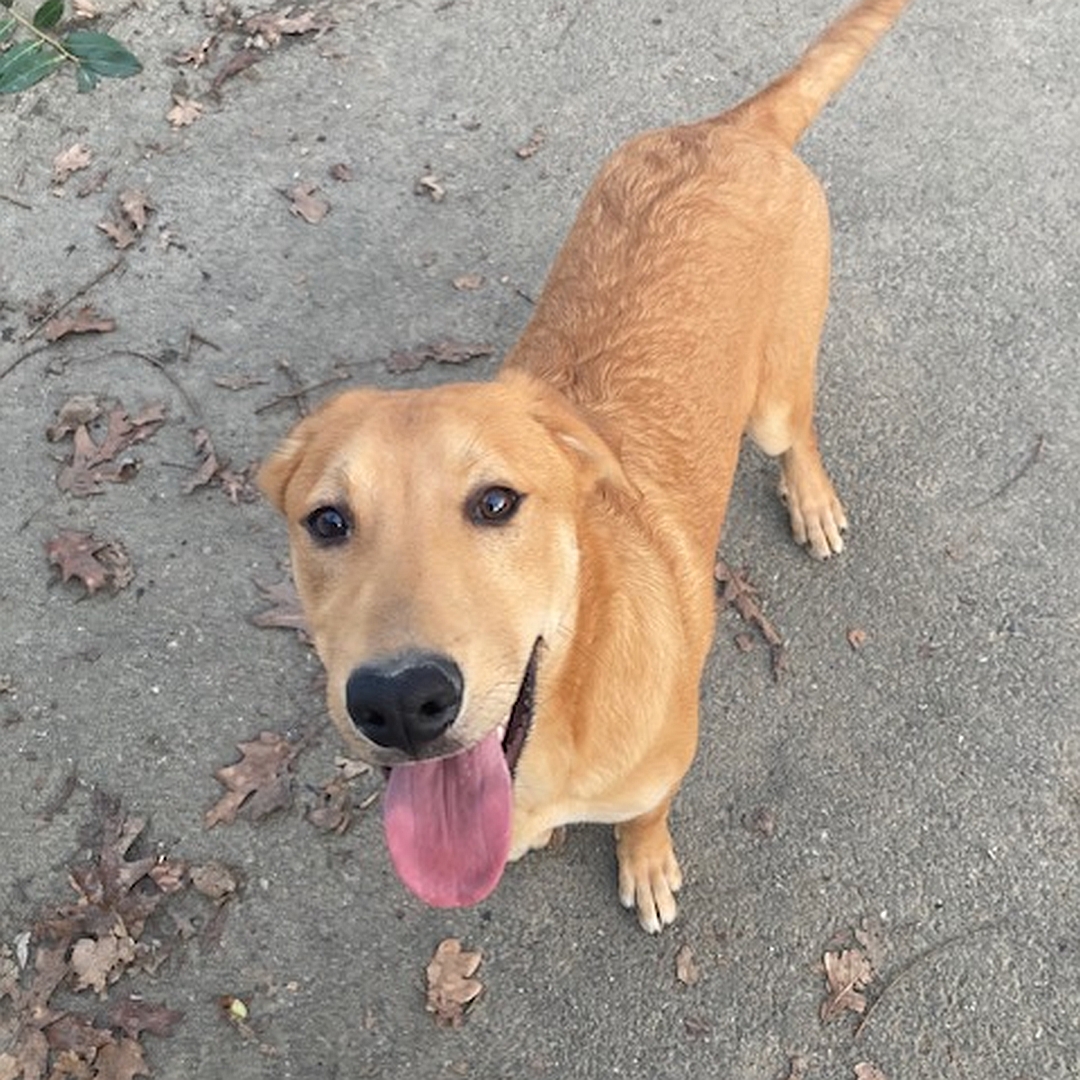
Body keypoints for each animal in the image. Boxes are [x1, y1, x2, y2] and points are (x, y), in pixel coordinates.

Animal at [261, 0, 911, 928]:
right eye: (327, 521)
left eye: (497, 503)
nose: (399, 701)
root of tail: (731, 129)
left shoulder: (663, 769)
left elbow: (647, 812)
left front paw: (645, 860)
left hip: (776, 399)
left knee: (800, 434)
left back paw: (812, 501)